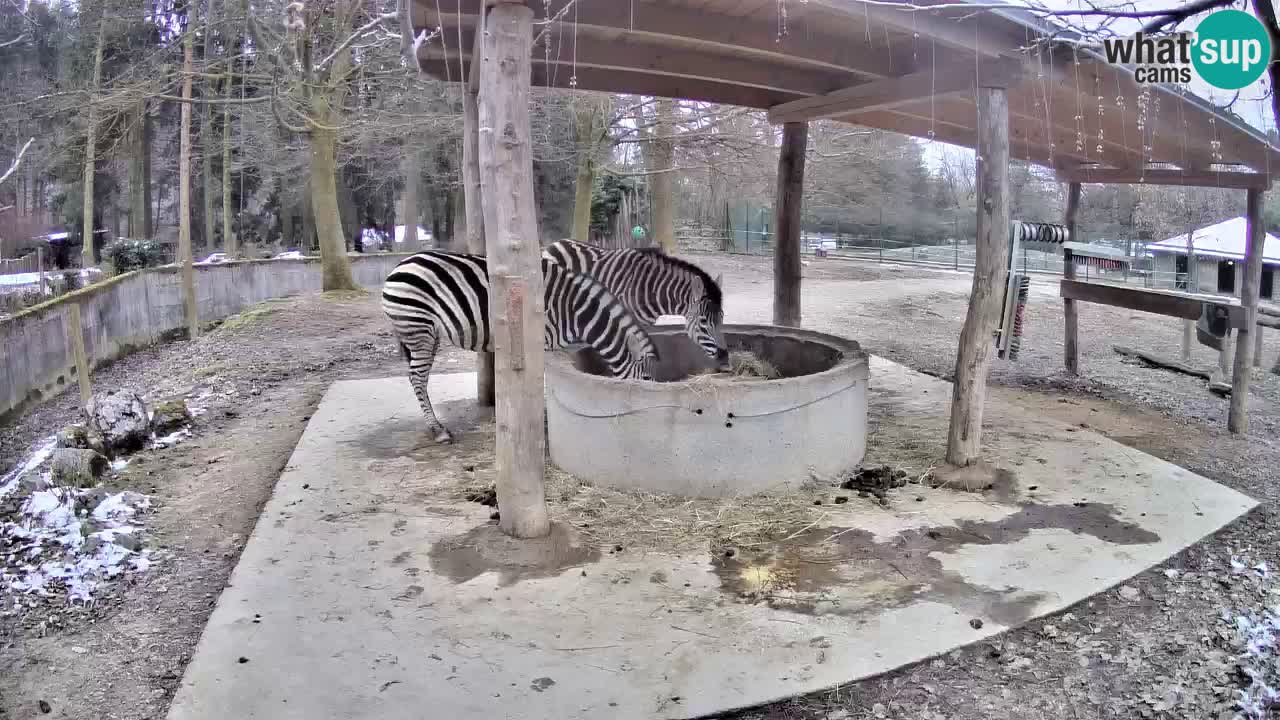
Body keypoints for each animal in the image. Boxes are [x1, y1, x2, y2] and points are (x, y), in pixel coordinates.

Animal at [378, 251, 660, 443]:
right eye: (646, 378)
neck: (575, 313)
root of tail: (401, 264)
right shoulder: (541, 340)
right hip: (418, 328)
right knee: (417, 378)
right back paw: (438, 431)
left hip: (426, 332)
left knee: (419, 378)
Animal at [540, 239, 732, 366]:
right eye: (703, 321)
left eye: (722, 318)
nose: (725, 358)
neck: (652, 288)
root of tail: (555, 243)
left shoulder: (646, 323)